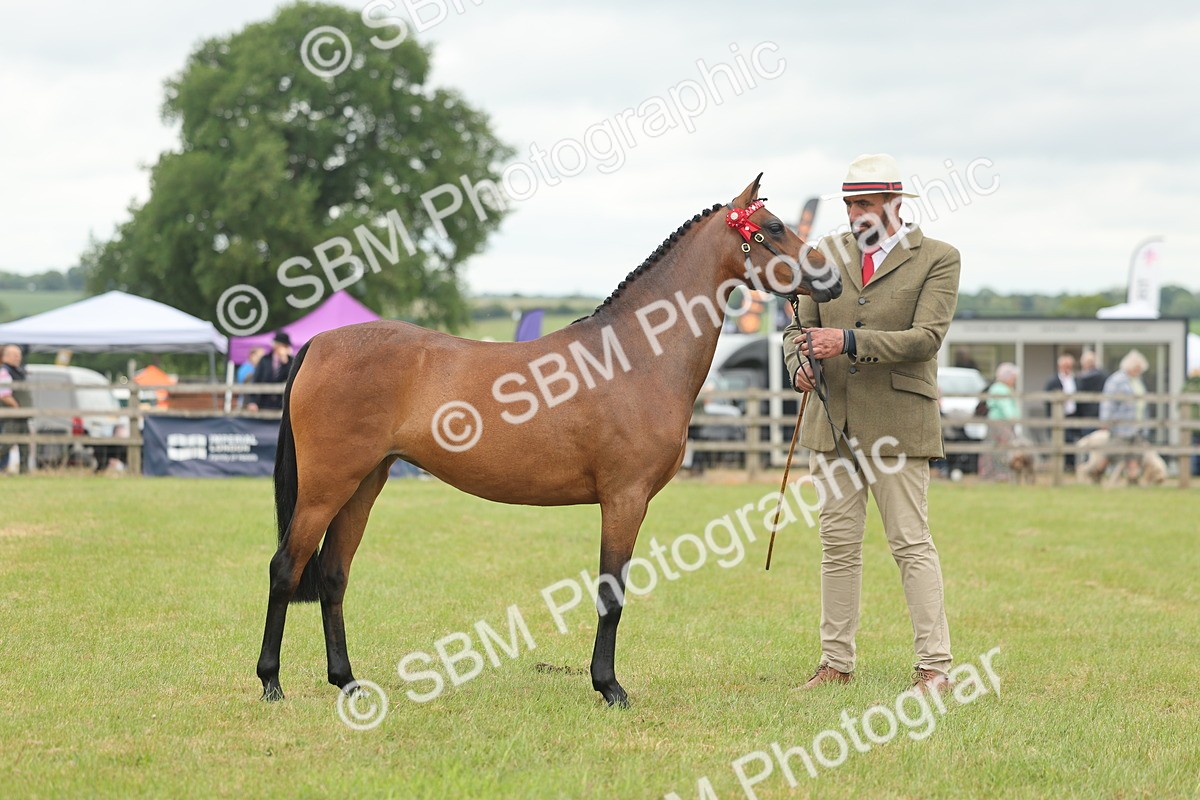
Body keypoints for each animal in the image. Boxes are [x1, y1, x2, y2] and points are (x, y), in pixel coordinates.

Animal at [256, 174, 842, 707]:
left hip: (363, 484)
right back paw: (271, 683)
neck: (634, 355)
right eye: (773, 227)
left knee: (333, 575)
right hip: (327, 486)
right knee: (286, 568)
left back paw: (347, 682)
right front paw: (609, 687)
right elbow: (611, 593)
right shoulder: (624, 499)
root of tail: (319, 342)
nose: (832, 281)